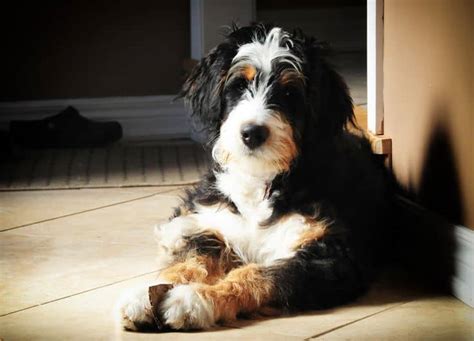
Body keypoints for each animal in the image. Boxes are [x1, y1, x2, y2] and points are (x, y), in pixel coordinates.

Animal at [116, 24, 394, 332]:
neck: (261, 180)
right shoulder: (211, 223)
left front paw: (195, 299)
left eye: (289, 93)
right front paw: (146, 294)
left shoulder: (332, 256)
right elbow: (192, 258)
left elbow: (259, 275)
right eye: (239, 86)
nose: (252, 133)